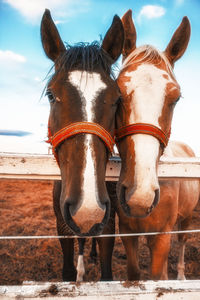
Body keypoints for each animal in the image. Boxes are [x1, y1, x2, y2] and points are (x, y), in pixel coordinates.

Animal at [41, 9, 123, 282]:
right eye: (51, 95)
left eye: (117, 99)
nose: (88, 209)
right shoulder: (62, 226)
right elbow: (68, 268)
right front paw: (77, 272)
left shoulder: (108, 226)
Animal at [115, 9, 199, 282]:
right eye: (117, 93)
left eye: (176, 98)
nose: (139, 196)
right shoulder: (127, 232)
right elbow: (134, 273)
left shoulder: (162, 237)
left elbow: (157, 277)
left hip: (187, 218)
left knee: (182, 241)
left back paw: (181, 276)